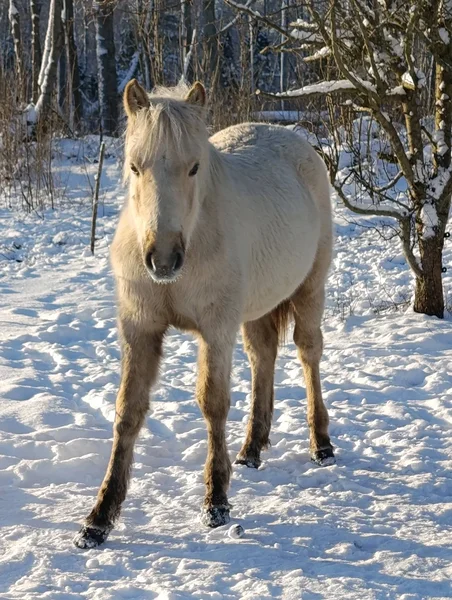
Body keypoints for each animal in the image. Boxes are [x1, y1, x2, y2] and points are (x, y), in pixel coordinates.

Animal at [74, 80, 335, 549]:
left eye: (194, 167)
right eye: (134, 166)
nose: (162, 259)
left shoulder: (215, 331)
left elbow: (213, 403)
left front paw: (216, 502)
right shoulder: (140, 329)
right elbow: (127, 412)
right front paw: (98, 519)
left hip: (309, 290)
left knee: (309, 355)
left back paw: (320, 444)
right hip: (256, 309)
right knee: (263, 358)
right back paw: (251, 449)